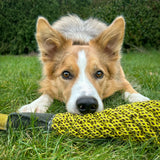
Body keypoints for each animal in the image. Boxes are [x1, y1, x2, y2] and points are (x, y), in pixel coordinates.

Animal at [18, 14, 149, 114]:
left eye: (99, 73)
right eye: (66, 74)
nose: (87, 105)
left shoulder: (120, 75)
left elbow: (127, 86)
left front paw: (139, 98)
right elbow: (47, 91)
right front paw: (34, 104)